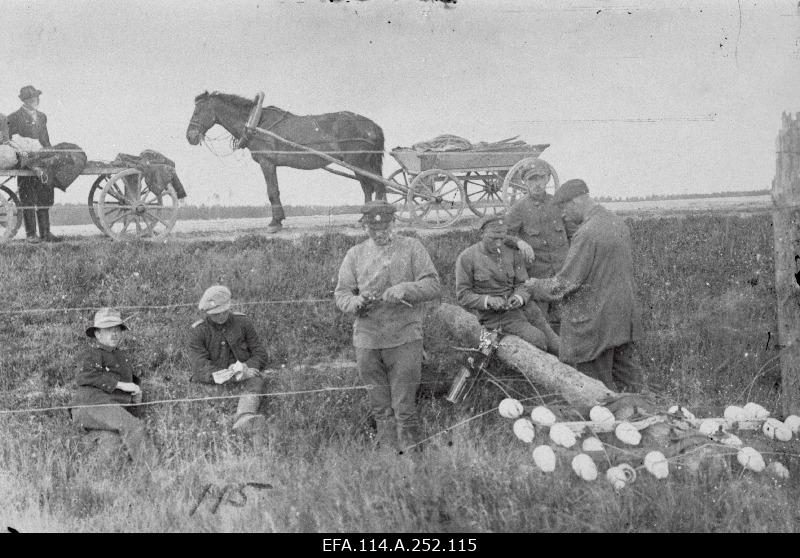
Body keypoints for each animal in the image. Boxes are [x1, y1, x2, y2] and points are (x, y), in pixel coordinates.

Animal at [188, 93, 388, 233]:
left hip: (358, 161)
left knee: (373, 185)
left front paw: (275, 222)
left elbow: (272, 191)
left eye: (197, 111)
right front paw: (278, 219)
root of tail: (373, 126)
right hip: (365, 162)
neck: (256, 123)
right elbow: (274, 190)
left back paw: (373, 217)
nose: (189, 136)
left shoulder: (266, 162)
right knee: (374, 186)